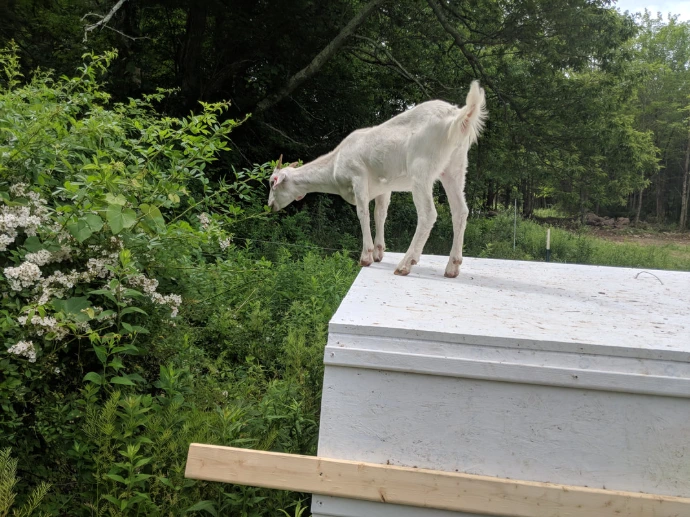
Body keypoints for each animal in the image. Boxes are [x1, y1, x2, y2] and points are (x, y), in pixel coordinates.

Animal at [267, 81, 487, 277]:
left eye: (272, 183)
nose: (270, 205)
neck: (336, 161)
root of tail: (456, 116)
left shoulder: (358, 177)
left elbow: (362, 212)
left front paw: (366, 256)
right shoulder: (384, 187)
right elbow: (380, 214)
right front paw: (379, 252)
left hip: (421, 170)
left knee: (428, 214)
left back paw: (405, 264)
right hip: (454, 169)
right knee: (460, 211)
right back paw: (452, 267)